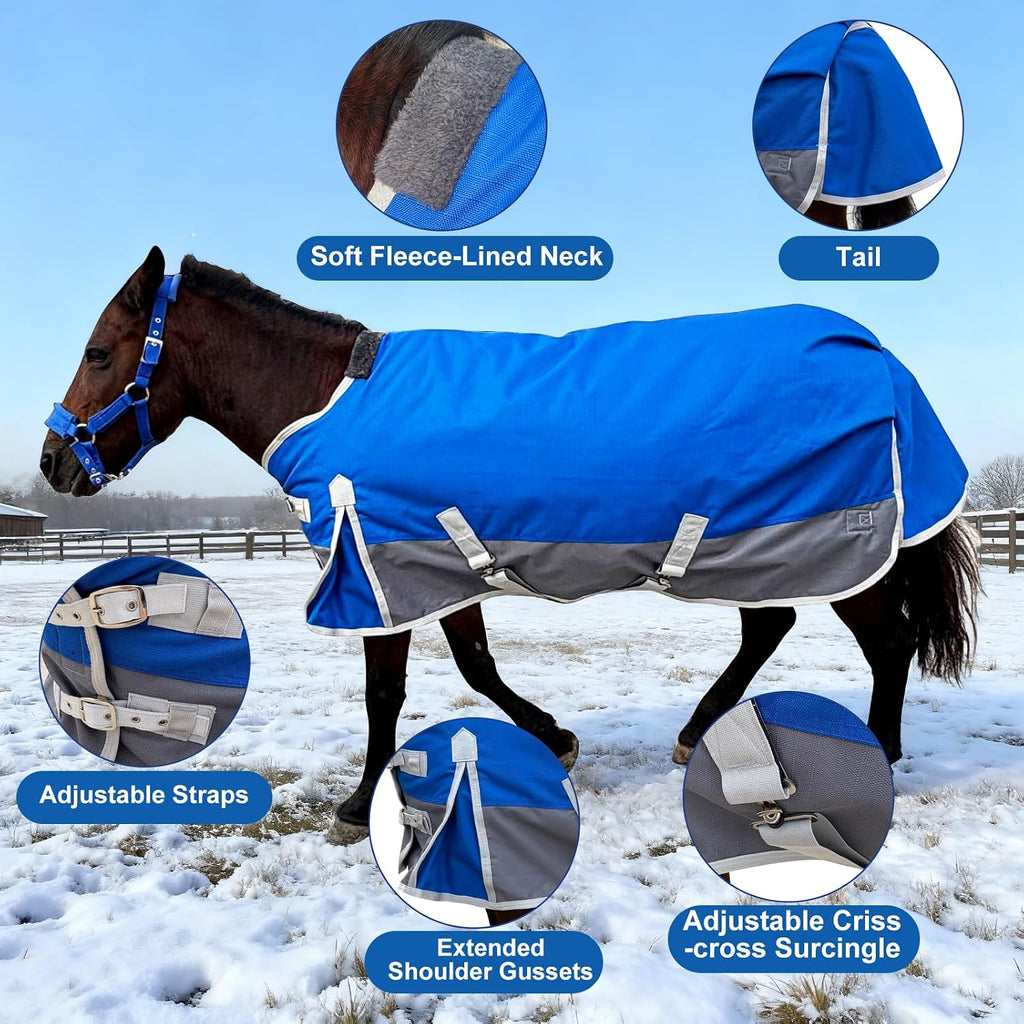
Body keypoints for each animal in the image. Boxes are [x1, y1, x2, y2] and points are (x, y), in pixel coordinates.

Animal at [40, 247, 980, 848]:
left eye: (97, 351)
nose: (52, 462)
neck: (328, 401)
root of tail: (876, 354)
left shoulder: (376, 572)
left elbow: (387, 695)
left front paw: (358, 801)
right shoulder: (436, 569)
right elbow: (477, 668)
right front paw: (556, 739)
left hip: (841, 551)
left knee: (887, 641)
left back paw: (877, 757)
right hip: (766, 544)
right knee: (771, 627)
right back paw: (698, 735)